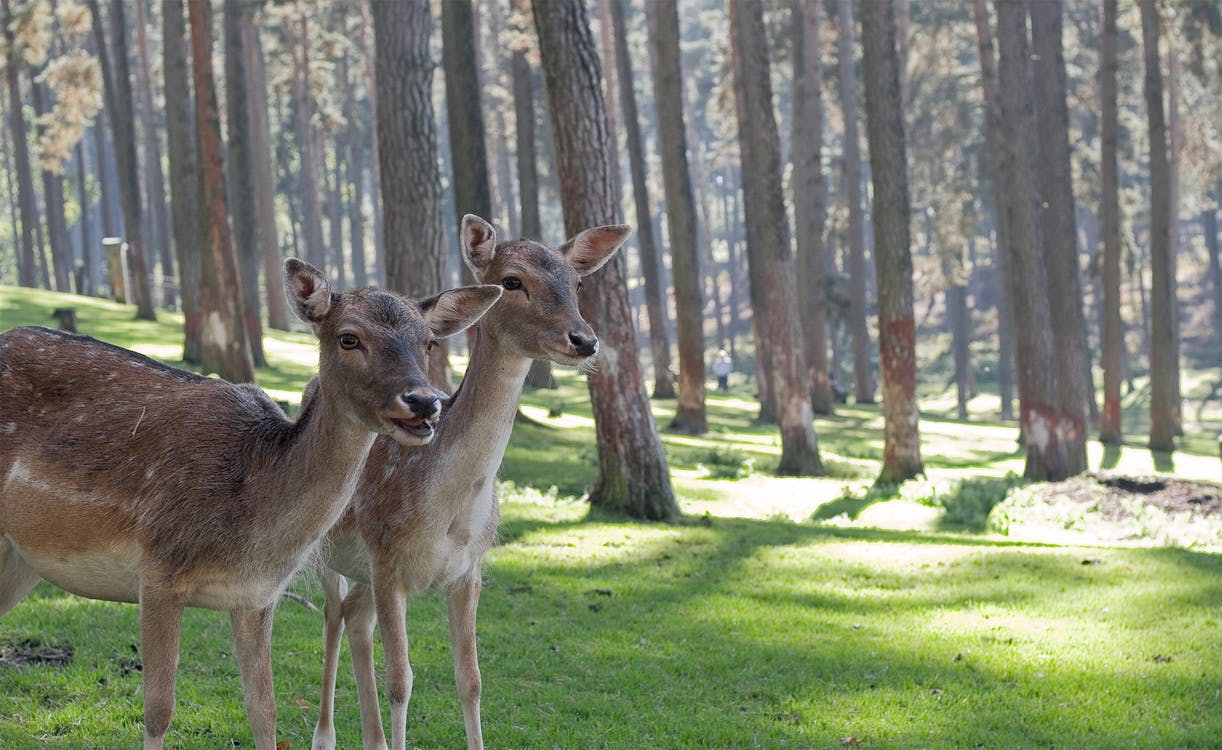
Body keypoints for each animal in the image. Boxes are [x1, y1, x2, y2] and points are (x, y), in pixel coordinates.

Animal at [0, 260, 503, 750]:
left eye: (428, 342)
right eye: (349, 337)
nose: (423, 401)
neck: (252, 521)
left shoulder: (256, 597)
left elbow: (265, 715)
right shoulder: (157, 568)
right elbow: (159, 710)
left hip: (21, 558)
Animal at [312, 214, 630, 747]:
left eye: (578, 283)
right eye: (512, 282)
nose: (585, 340)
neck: (448, 513)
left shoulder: (469, 568)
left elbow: (472, 681)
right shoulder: (386, 558)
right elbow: (401, 681)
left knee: (355, 617)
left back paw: (372, 738)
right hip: (324, 547)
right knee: (333, 616)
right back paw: (324, 735)